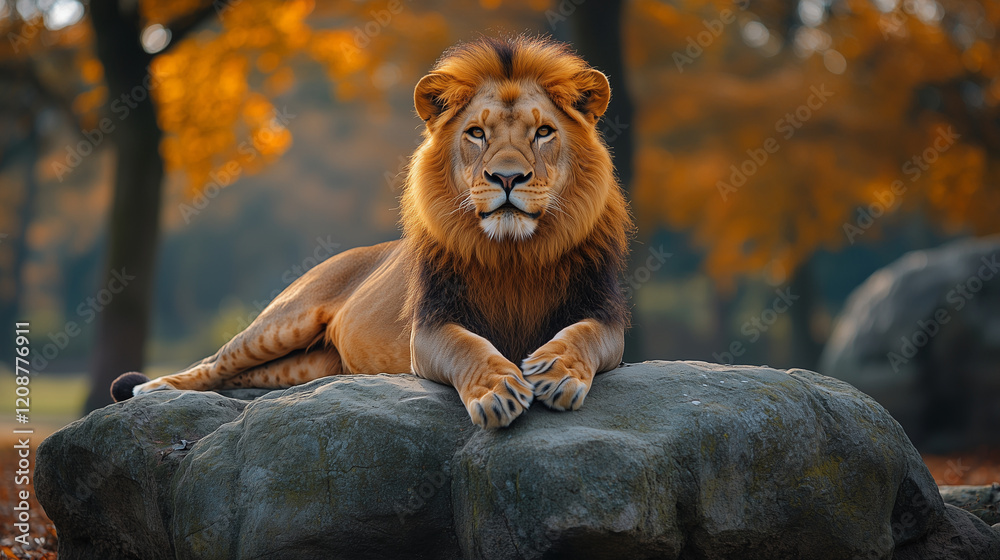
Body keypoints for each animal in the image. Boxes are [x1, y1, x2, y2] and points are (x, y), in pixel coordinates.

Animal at [112, 36, 632, 428]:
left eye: (543, 132)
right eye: (476, 134)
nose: (507, 178)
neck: (514, 252)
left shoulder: (605, 315)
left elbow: (582, 335)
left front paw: (557, 371)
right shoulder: (430, 328)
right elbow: (469, 347)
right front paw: (498, 389)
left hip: (307, 365)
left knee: (241, 377)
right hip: (282, 322)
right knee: (214, 364)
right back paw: (149, 388)